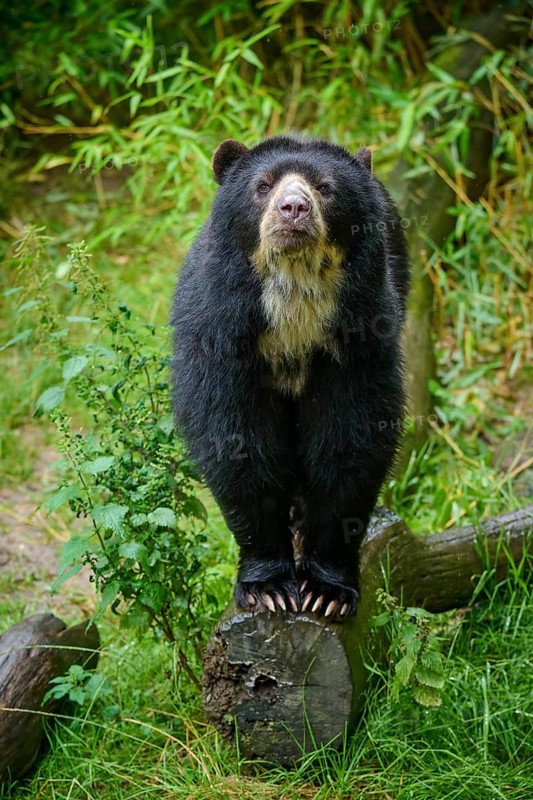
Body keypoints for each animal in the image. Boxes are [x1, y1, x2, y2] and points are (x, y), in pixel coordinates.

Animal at [170, 135, 409, 620]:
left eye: (325, 188)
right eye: (263, 186)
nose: (293, 208)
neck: (293, 302)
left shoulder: (360, 336)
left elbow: (351, 439)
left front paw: (326, 591)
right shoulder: (222, 336)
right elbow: (235, 439)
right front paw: (269, 587)